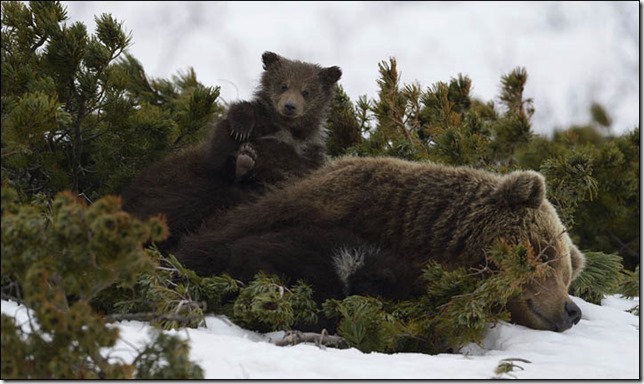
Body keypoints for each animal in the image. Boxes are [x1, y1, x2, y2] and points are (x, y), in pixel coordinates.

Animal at [121, 52, 342, 254]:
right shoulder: (260, 124)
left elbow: (301, 169)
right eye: (283, 85)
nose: (289, 106)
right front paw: (241, 129)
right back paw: (243, 162)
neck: (287, 130)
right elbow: (234, 122)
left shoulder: (309, 152)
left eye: (306, 91)